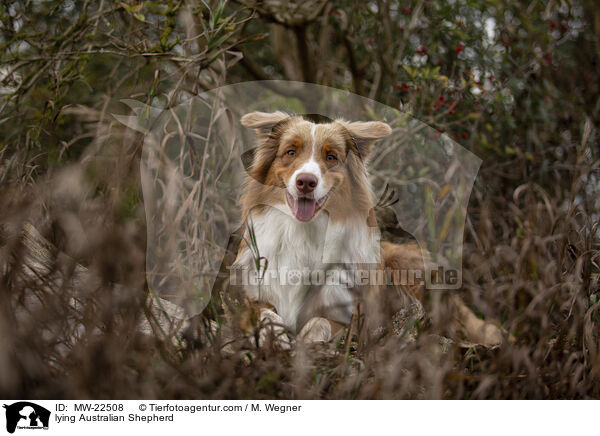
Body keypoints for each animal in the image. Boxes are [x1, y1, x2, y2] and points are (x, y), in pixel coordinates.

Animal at [227, 112, 424, 348]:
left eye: (331, 157)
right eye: (291, 152)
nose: (306, 182)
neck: (301, 233)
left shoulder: (350, 316)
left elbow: (320, 321)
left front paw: (306, 342)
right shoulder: (250, 293)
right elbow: (263, 312)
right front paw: (275, 334)